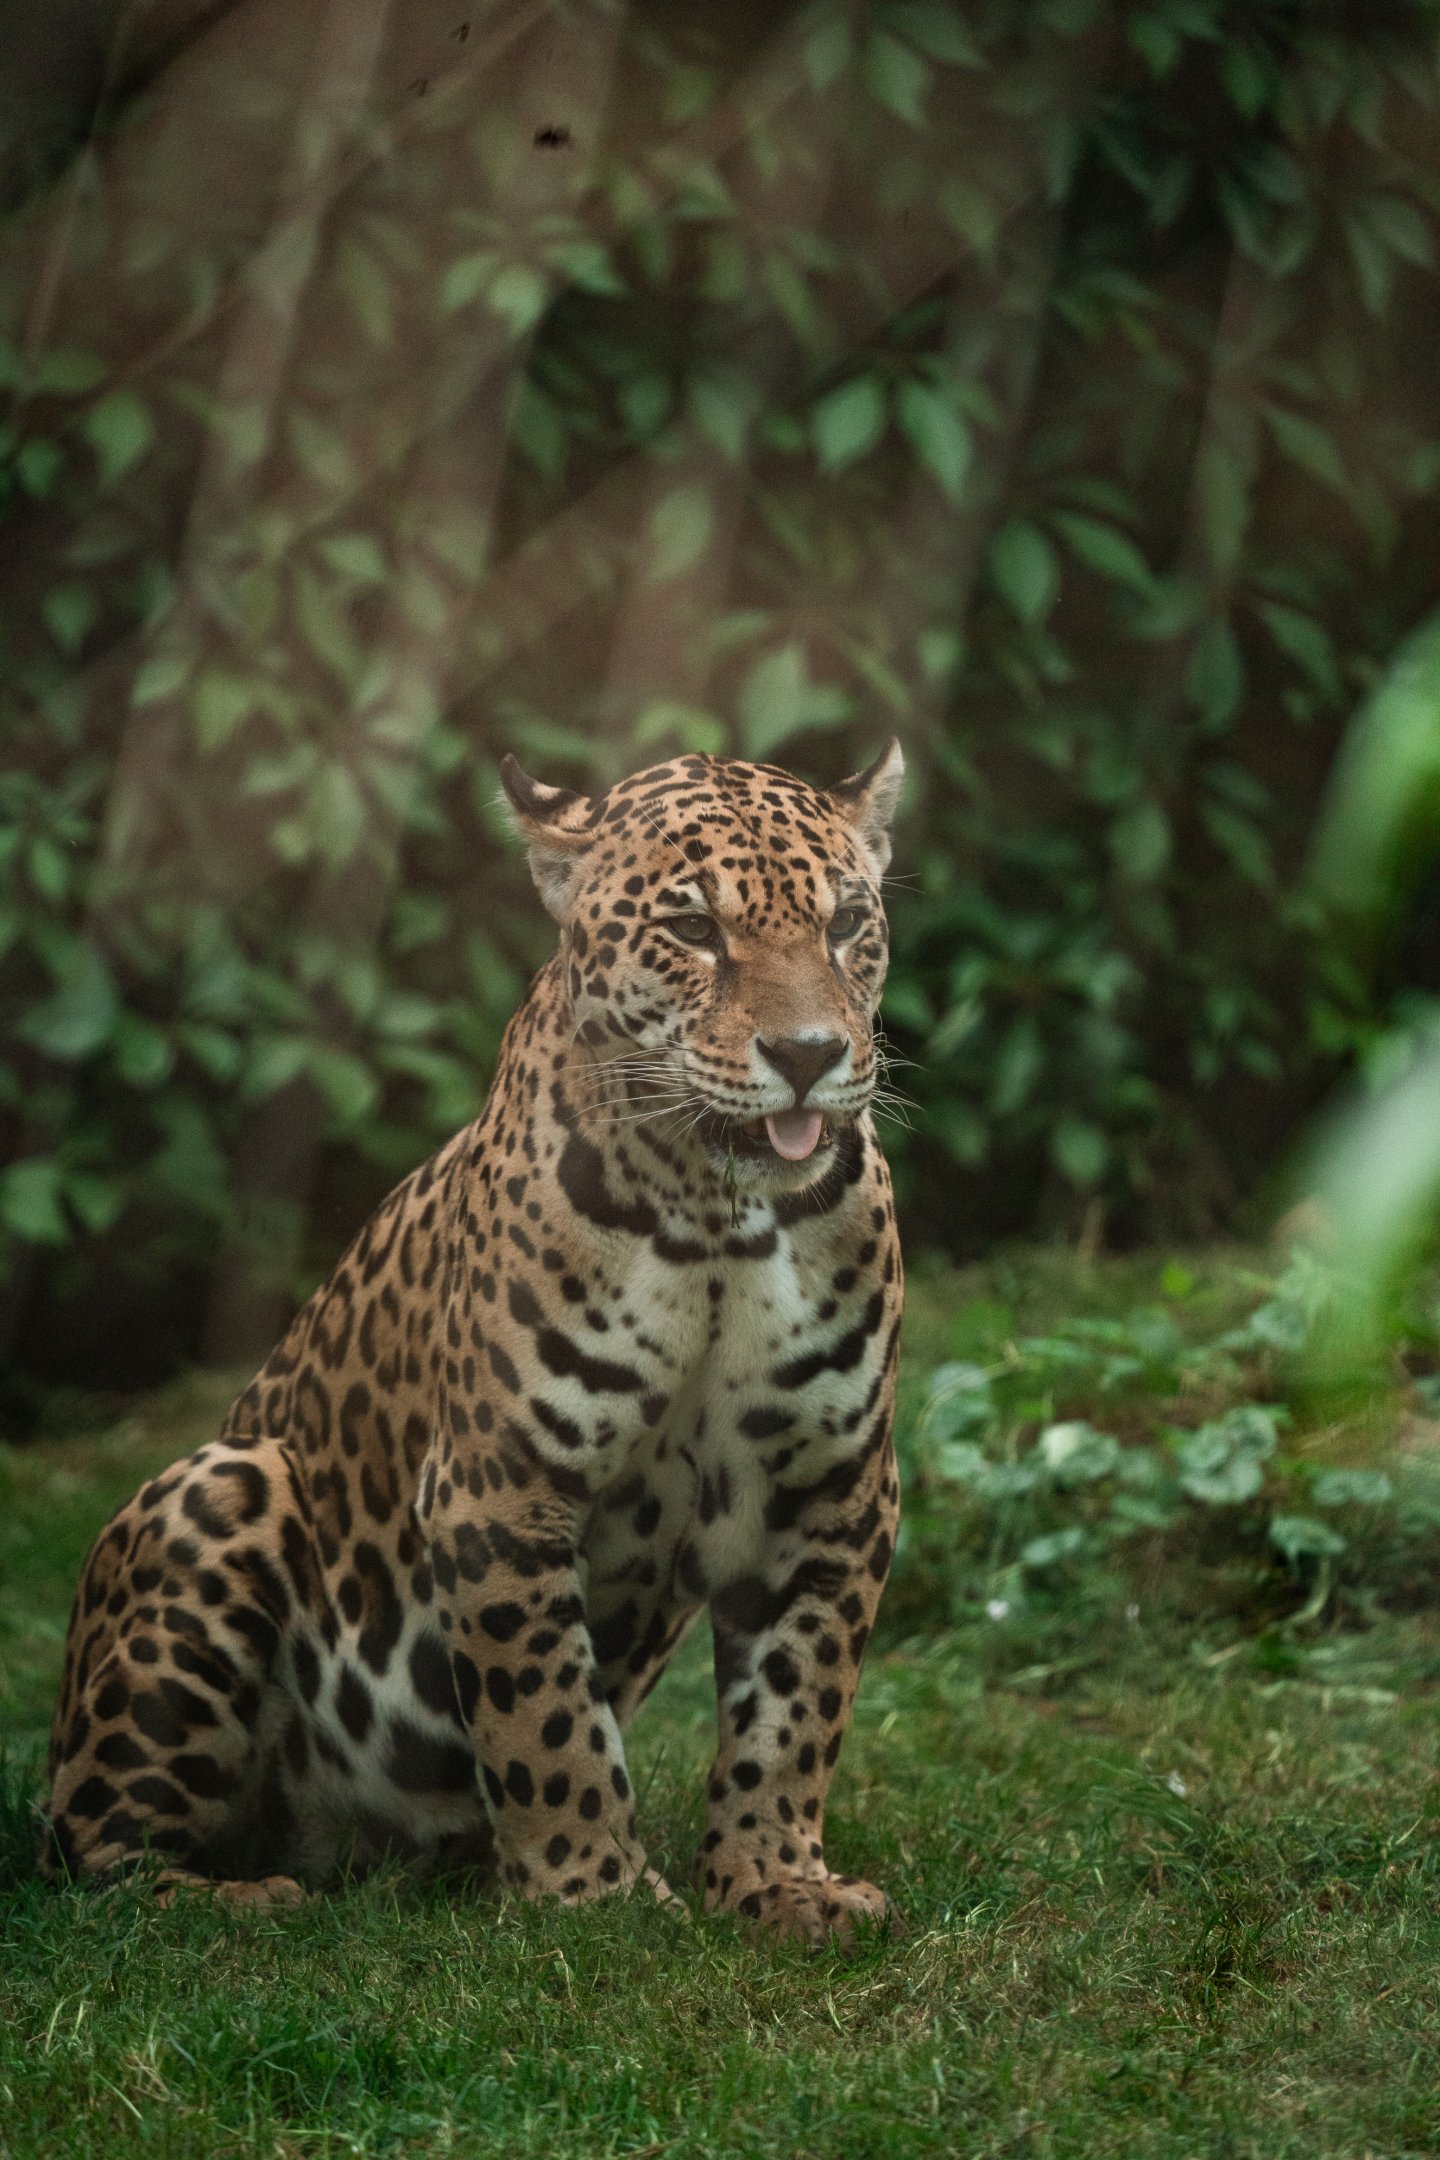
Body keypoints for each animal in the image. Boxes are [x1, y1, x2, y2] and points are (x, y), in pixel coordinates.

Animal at [44, 740, 906, 1944]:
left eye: (847, 923)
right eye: (694, 929)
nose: (810, 1053)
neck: (718, 1217)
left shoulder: (834, 1491)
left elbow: (795, 1708)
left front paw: (776, 1880)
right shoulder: (502, 1485)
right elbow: (547, 1716)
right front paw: (593, 1895)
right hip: (217, 1488)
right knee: (88, 1854)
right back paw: (242, 1901)